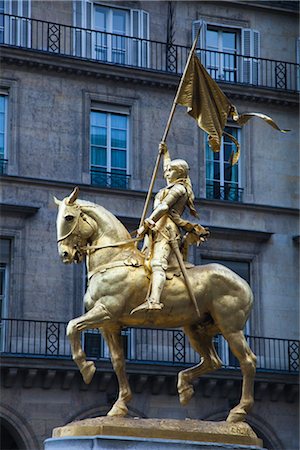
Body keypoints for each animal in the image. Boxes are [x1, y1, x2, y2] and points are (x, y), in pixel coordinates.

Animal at [55, 185, 256, 422]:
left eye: (69, 217)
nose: (64, 254)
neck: (114, 258)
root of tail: (243, 281)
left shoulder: (105, 311)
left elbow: (71, 326)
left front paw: (86, 368)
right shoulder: (110, 324)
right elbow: (118, 361)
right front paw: (119, 406)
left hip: (230, 328)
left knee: (248, 361)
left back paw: (238, 411)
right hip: (195, 328)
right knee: (213, 361)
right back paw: (184, 387)